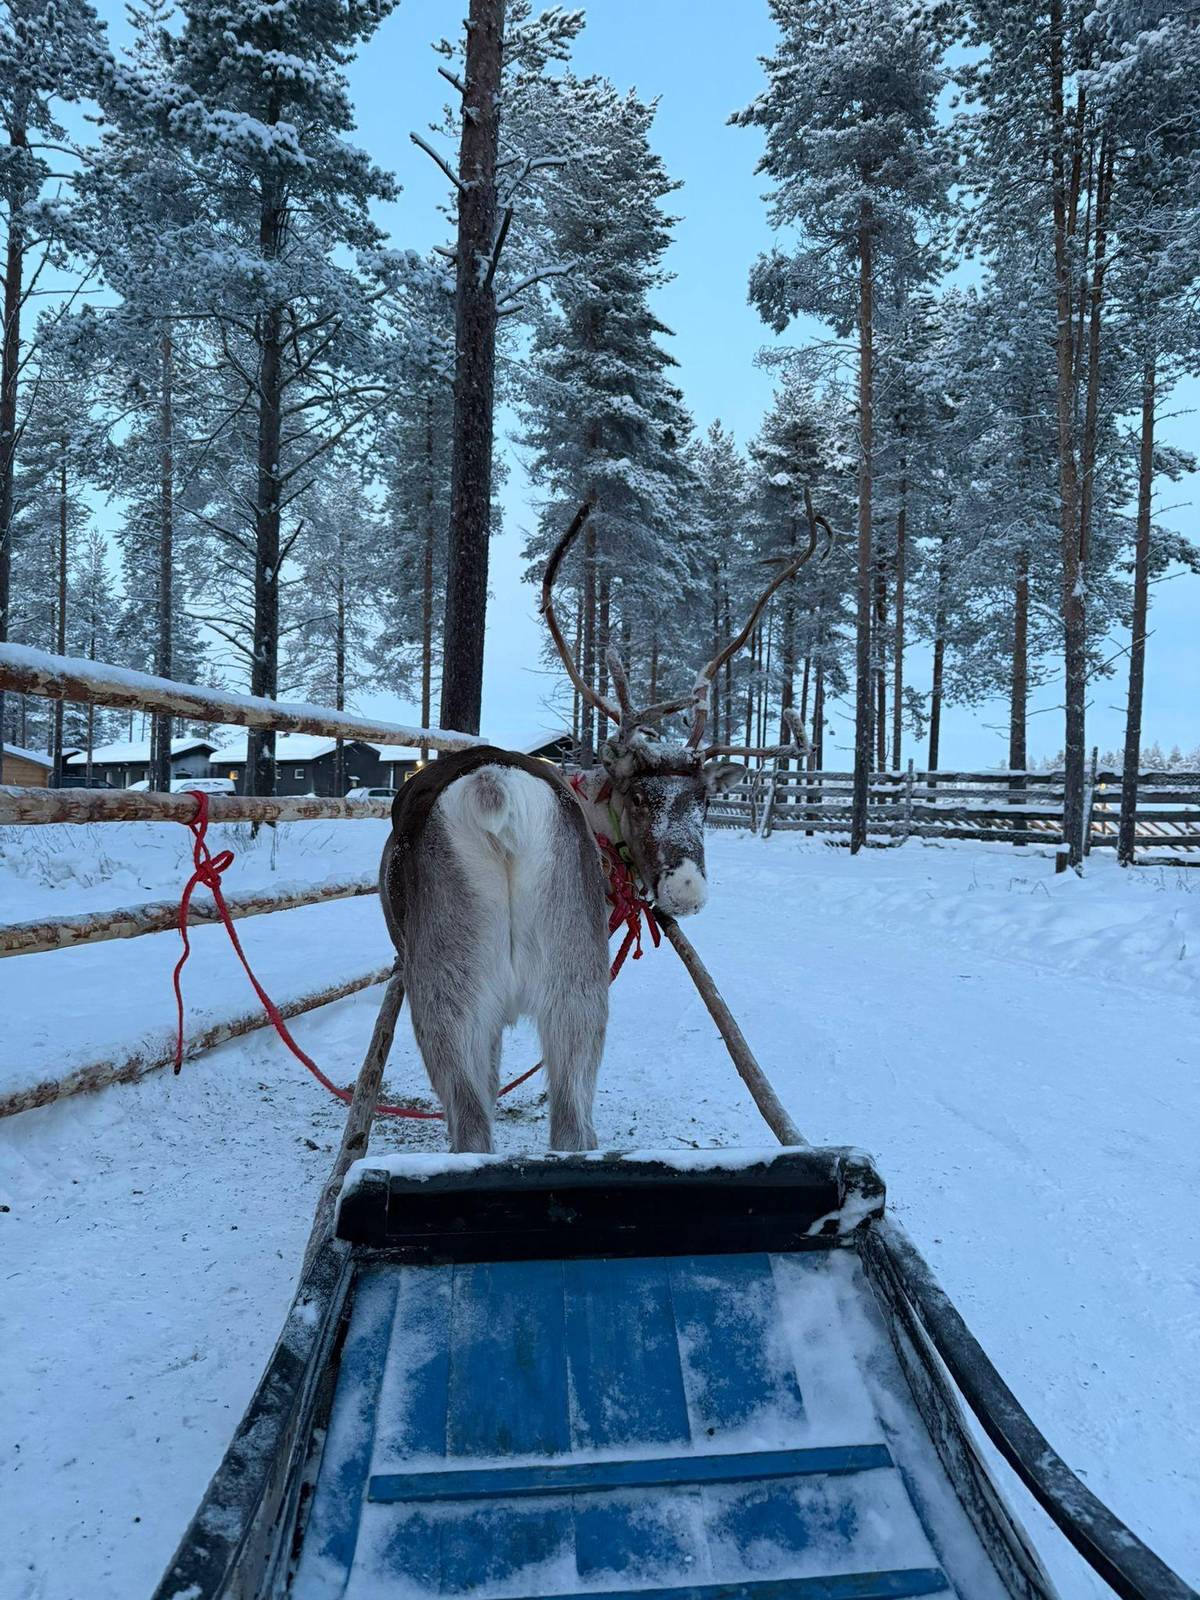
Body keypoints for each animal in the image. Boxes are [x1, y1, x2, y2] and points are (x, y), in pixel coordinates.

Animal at [378, 500, 827, 1154]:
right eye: (639, 797)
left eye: (704, 801)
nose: (686, 890)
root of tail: (497, 792)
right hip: (577, 989)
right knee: (572, 1126)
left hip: (447, 991)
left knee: (475, 1128)